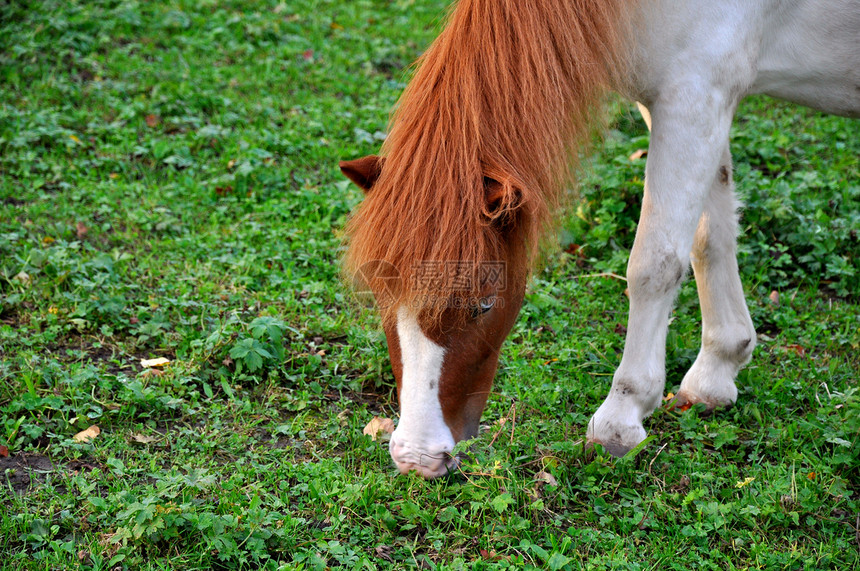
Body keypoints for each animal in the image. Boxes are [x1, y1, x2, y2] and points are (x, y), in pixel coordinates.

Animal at [340, 0, 856, 478]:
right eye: (382, 297)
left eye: (483, 305)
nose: (417, 458)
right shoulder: (693, 101)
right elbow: (709, 235)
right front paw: (716, 372)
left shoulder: (693, 93)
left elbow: (654, 264)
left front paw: (620, 420)